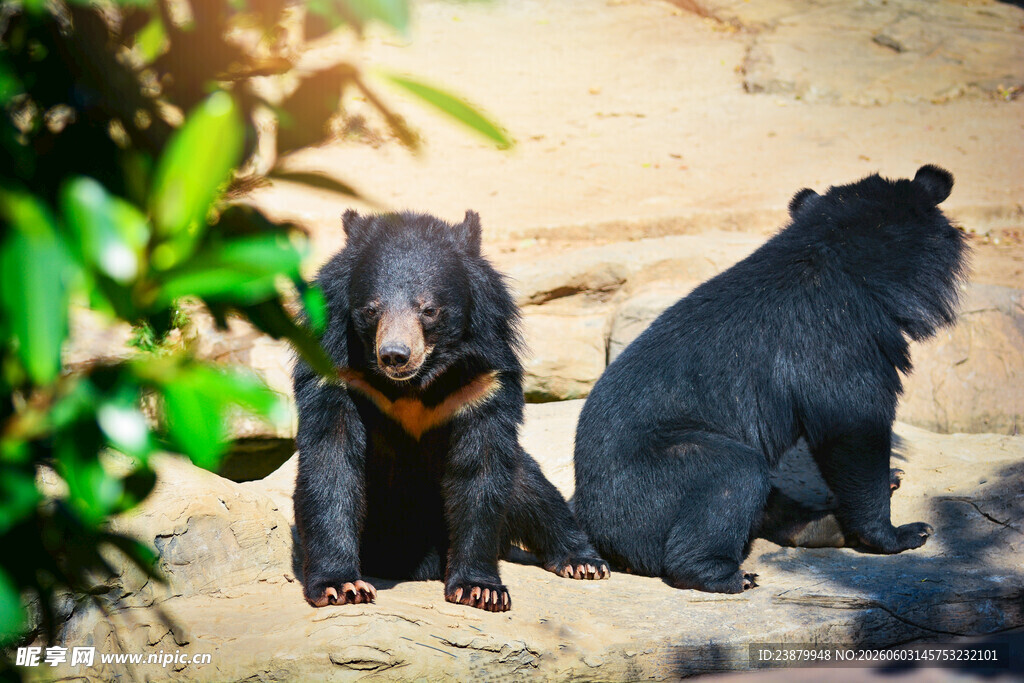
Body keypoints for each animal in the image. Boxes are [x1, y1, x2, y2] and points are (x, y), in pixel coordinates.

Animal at [293, 210, 609, 612]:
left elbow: (481, 471)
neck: (414, 384)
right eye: (371, 310)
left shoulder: (482, 383)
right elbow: (332, 462)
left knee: (532, 488)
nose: (395, 355)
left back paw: (583, 562)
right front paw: (341, 586)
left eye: (429, 310)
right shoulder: (338, 374)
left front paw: (481, 590)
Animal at [572, 165, 968, 593]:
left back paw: (820, 525)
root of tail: (593, 523)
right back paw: (729, 575)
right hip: (655, 480)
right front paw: (903, 533)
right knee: (734, 476)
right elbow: (853, 427)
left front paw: (894, 476)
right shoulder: (838, 341)